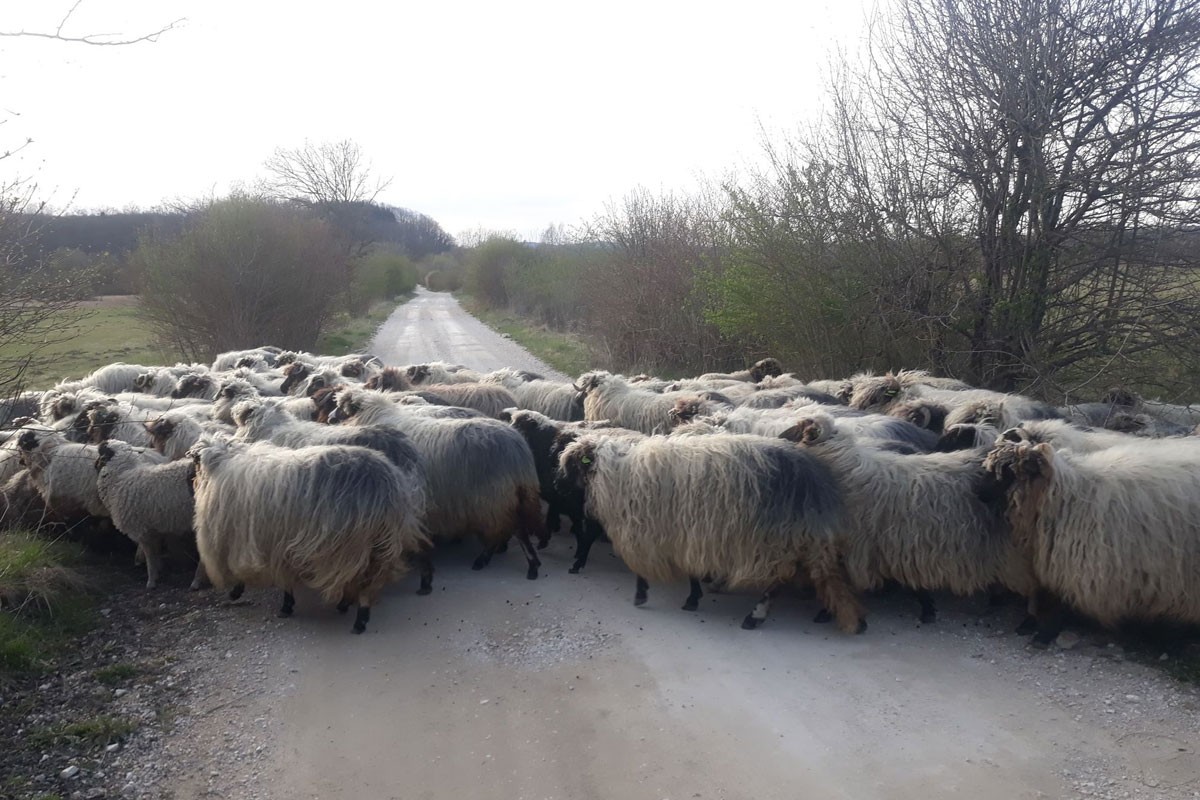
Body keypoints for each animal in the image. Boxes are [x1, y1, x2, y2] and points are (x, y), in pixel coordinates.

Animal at [94, 438, 196, 587]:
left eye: (101, 454)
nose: (95, 465)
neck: (122, 476)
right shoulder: (156, 529)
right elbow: (156, 553)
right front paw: (158, 571)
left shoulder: (142, 530)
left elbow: (150, 555)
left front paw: (151, 581)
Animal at [333, 388, 549, 585]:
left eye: (342, 408)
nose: (330, 417)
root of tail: (519, 453)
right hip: (509, 498)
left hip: (493, 500)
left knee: (510, 530)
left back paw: (497, 561)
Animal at [552, 431, 864, 633]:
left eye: (572, 465)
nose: (554, 488)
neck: (617, 474)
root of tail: (817, 481)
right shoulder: (685, 534)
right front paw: (693, 596)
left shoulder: (659, 532)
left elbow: (644, 570)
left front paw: (644, 594)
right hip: (793, 539)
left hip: (774, 539)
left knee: (779, 581)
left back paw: (756, 616)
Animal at [979, 434, 1200, 647]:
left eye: (1008, 472)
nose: (979, 494)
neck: (1064, 496)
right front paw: (1030, 624)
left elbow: (1051, 600)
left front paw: (1043, 635)